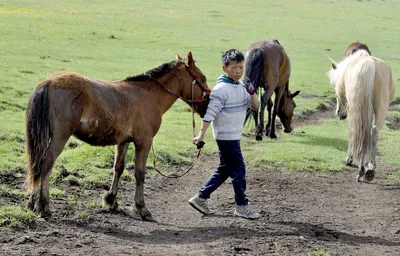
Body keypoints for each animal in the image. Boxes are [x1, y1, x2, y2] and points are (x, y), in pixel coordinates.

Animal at [26, 51, 211, 220]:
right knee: (46, 163)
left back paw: (32, 203)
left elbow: (118, 168)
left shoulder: (123, 141)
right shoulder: (143, 142)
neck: (149, 95)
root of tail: (48, 82)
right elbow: (139, 173)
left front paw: (111, 200)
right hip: (60, 136)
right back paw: (44, 206)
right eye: (202, 79)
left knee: (36, 164)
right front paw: (141, 207)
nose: (208, 104)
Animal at [328, 49, 394, 182]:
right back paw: (369, 169)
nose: (339, 112)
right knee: (372, 132)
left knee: (360, 132)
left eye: (334, 85)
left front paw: (350, 158)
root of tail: (369, 64)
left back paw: (362, 170)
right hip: (380, 109)